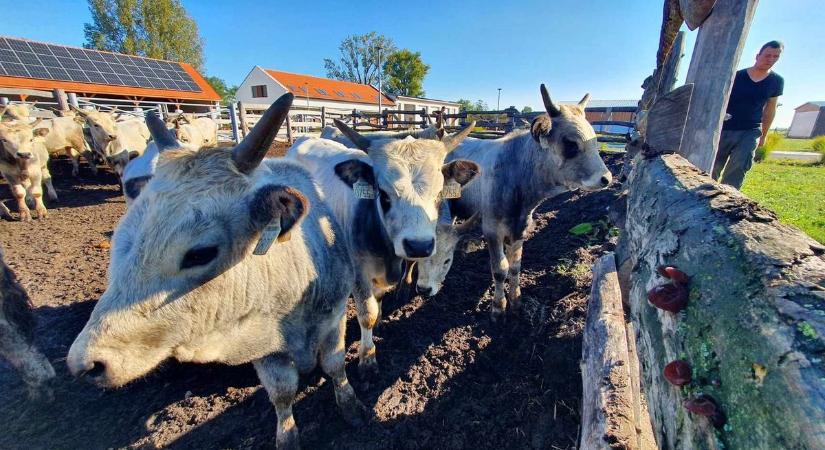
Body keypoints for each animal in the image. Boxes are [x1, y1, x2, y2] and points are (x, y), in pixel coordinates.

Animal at [68, 93, 366, 448]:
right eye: (120, 243)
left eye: (200, 253)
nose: (86, 363)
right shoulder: (263, 344)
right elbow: (282, 392)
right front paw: (287, 436)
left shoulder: (334, 315)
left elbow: (335, 365)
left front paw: (351, 407)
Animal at [286, 120, 476, 376]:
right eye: (384, 194)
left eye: (439, 195)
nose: (419, 245)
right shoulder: (358, 274)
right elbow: (367, 313)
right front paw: (367, 357)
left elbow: (378, 300)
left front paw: (378, 325)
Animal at [444, 84, 612, 320]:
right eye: (570, 144)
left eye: (595, 140)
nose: (606, 178)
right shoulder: (491, 229)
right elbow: (500, 269)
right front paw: (498, 307)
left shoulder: (520, 228)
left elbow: (515, 266)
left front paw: (516, 300)